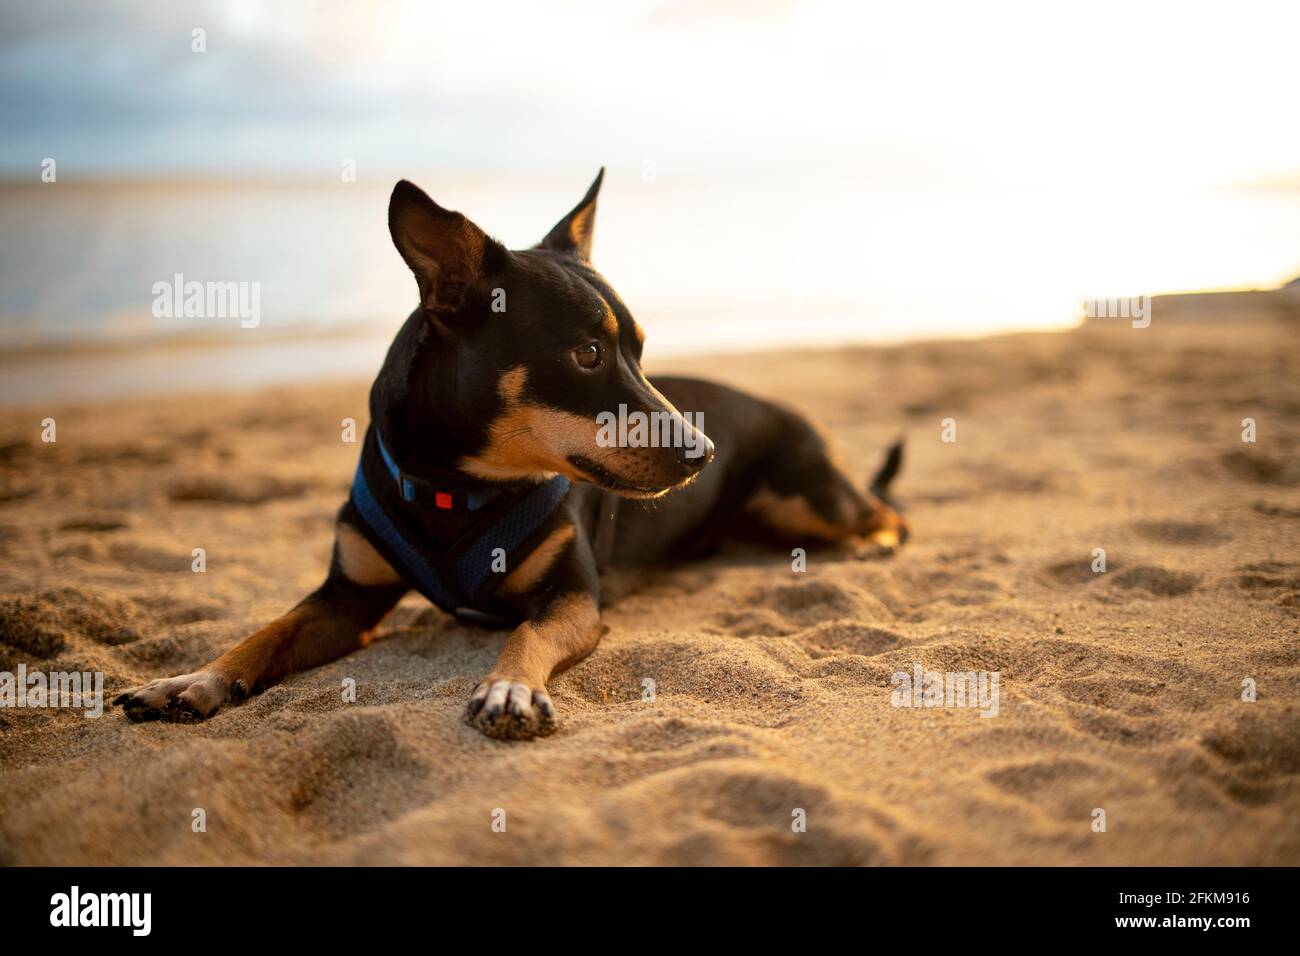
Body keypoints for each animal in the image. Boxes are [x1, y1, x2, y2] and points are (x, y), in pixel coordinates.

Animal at [111, 171, 909, 738]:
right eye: (588, 354)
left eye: (640, 351)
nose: (703, 451)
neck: (454, 486)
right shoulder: (347, 597)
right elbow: (266, 632)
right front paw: (196, 680)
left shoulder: (573, 597)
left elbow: (526, 632)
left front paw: (510, 686)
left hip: (808, 499)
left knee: (888, 514)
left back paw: (872, 545)